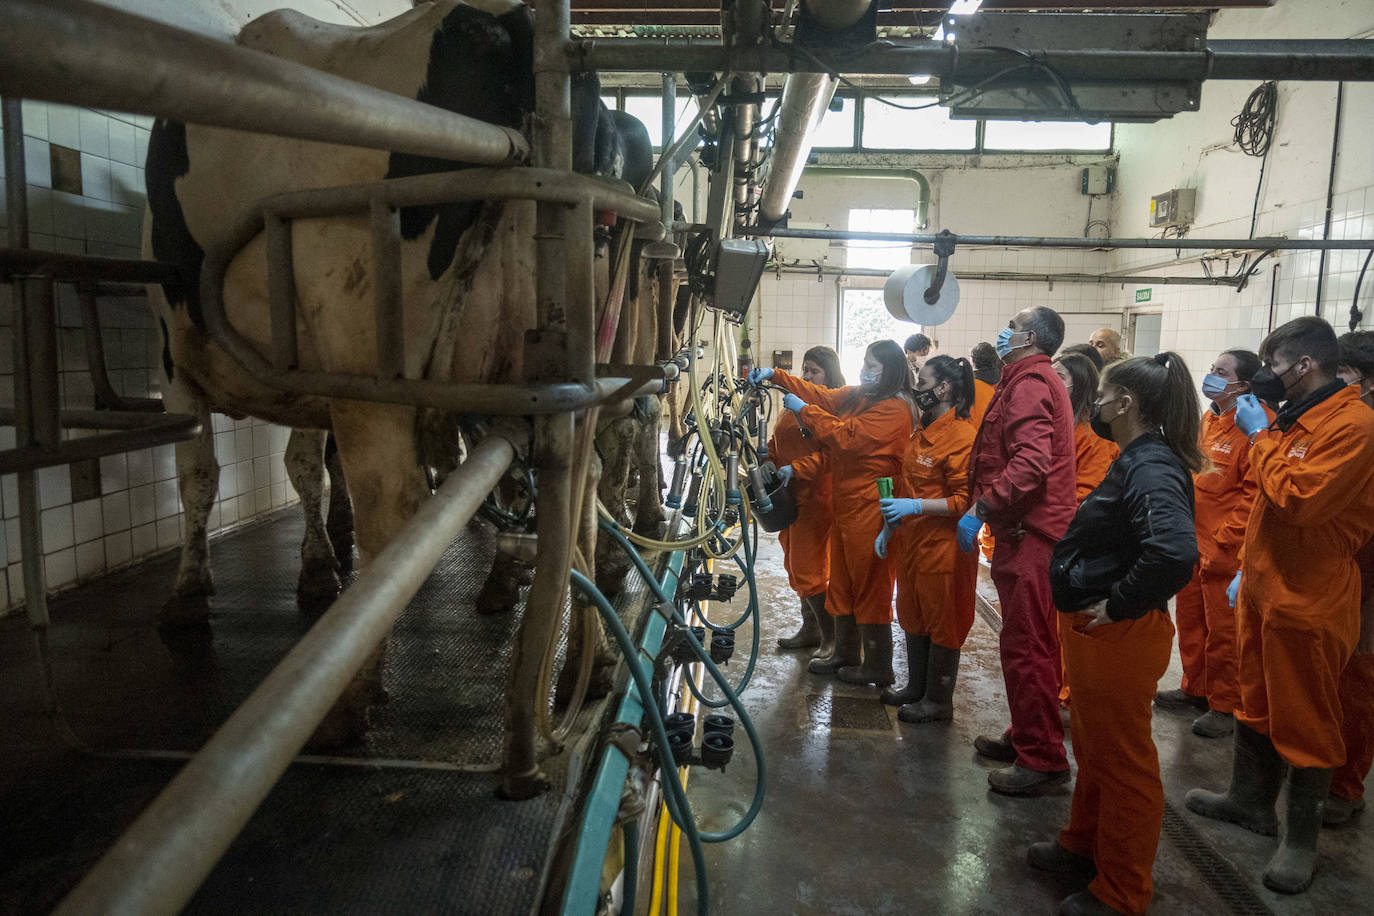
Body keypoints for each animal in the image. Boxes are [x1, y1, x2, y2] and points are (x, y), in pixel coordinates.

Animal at [144, 0, 670, 747]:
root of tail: (508, 25)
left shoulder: (178, 361)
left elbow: (201, 478)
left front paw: (190, 592)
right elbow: (301, 466)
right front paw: (313, 568)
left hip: (366, 354)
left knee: (393, 512)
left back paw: (350, 699)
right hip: (563, 364)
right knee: (584, 478)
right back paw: (580, 665)